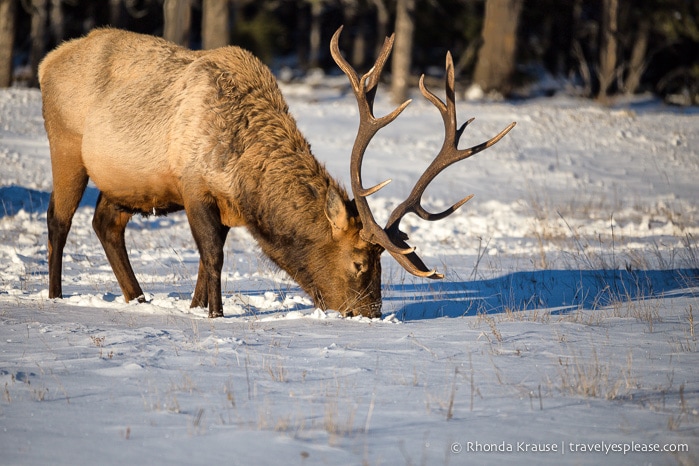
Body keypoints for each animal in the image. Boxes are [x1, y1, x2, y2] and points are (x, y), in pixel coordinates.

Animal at [39, 24, 516, 316]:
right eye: (360, 262)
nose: (369, 314)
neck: (242, 173)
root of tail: (47, 62)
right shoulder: (194, 185)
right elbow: (213, 256)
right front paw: (215, 314)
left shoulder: (222, 205)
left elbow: (205, 260)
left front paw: (195, 307)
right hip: (65, 146)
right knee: (59, 219)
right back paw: (55, 296)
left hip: (124, 182)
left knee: (105, 223)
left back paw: (137, 299)